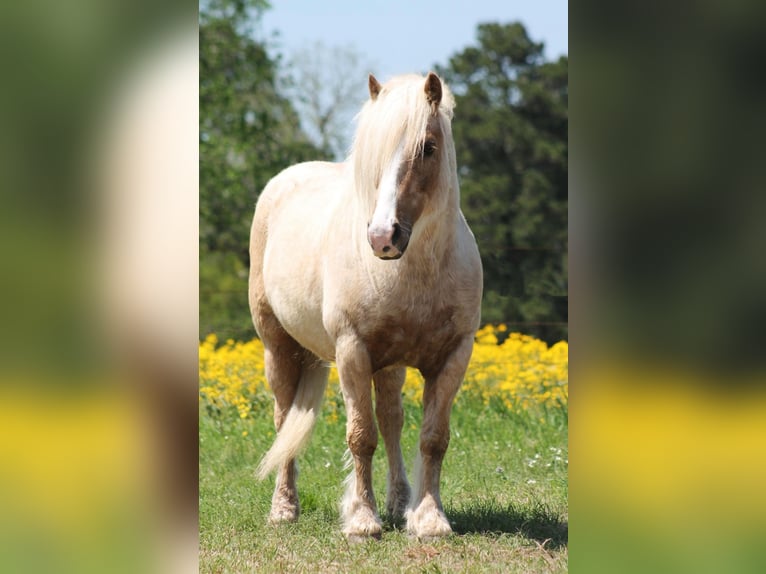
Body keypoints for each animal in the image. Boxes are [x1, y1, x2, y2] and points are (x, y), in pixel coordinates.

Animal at [249, 71, 484, 540]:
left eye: (428, 147)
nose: (381, 237)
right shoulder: (351, 351)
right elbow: (361, 436)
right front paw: (362, 520)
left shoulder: (454, 355)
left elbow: (433, 437)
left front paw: (428, 519)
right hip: (278, 348)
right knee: (284, 421)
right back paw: (284, 509)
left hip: (389, 365)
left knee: (391, 418)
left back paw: (397, 502)